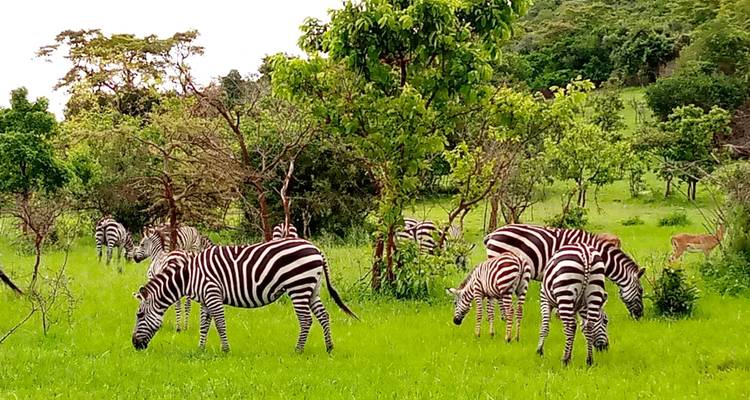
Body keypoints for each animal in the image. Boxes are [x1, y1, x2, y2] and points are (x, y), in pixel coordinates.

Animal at [131, 239, 358, 353]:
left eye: (139, 315)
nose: (135, 345)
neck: (189, 276)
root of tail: (316, 249)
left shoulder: (212, 293)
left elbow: (220, 323)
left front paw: (225, 350)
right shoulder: (205, 299)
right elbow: (204, 324)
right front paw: (201, 349)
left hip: (298, 286)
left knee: (306, 320)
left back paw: (298, 350)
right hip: (312, 287)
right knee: (323, 316)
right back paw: (329, 347)